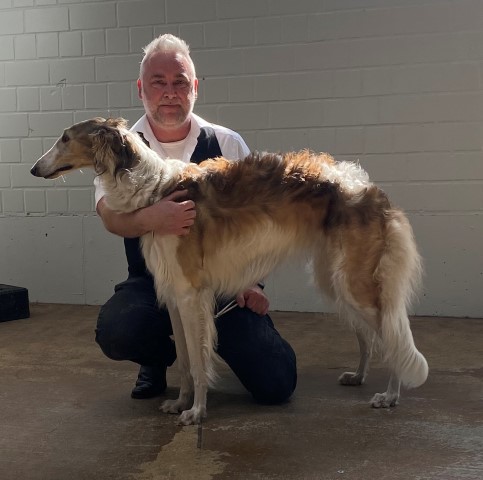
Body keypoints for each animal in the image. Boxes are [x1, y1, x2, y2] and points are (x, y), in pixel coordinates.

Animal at [31, 117, 428, 425]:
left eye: (65, 138)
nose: (34, 168)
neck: (154, 191)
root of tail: (372, 191)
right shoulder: (174, 296)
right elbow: (185, 361)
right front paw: (180, 403)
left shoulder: (191, 295)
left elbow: (197, 360)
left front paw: (196, 412)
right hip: (336, 281)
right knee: (371, 337)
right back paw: (358, 376)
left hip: (354, 283)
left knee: (391, 335)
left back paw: (390, 395)